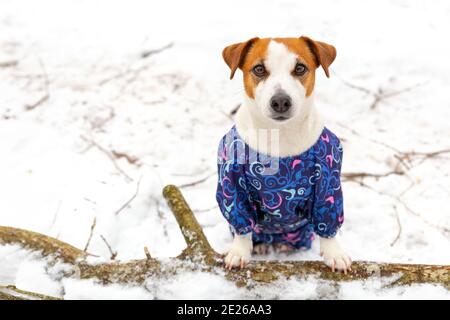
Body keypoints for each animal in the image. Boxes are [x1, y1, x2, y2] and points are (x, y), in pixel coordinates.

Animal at [215, 37, 352, 272]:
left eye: (300, 68)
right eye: (259, 69)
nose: (280, 101)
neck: (280, 136)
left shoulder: (328, 180)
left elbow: (327, 218)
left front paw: (334, 253)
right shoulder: (232, 180)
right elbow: (241, 221)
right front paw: (239, 252)